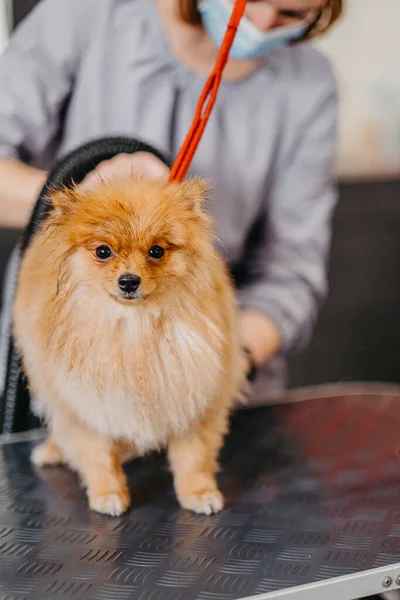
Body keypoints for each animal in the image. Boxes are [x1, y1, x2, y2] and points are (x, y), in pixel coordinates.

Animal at [12, 175, 242, 516]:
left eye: (156, 250)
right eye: (103, 251)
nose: (129, 281)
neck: (135, 326)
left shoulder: (192, 392)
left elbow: (193, 455)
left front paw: (198, 492)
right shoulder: (85, 402)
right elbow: (97, 454)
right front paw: (107, 492)